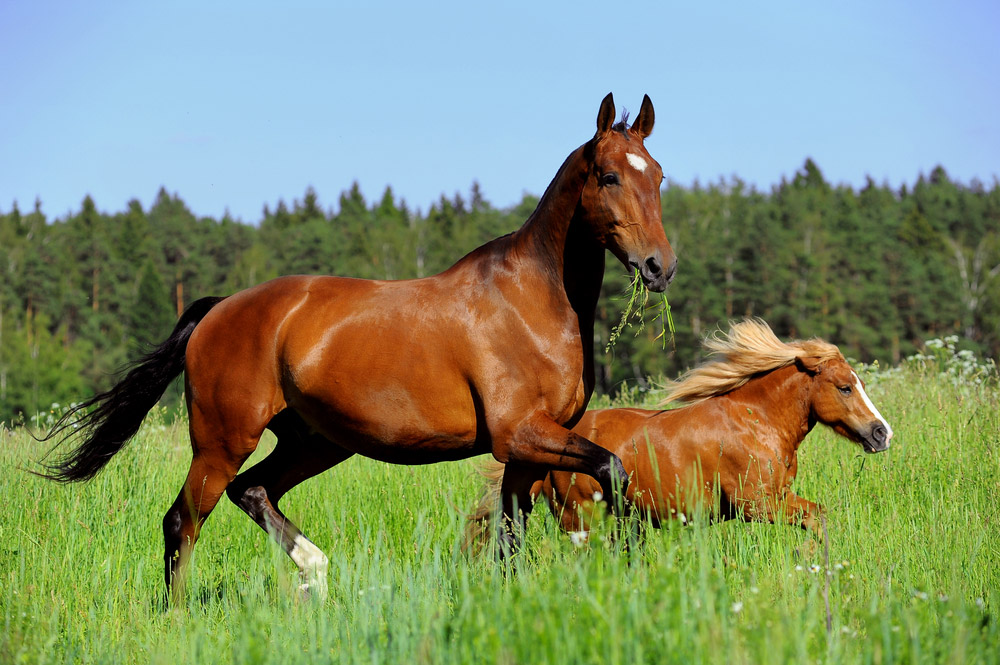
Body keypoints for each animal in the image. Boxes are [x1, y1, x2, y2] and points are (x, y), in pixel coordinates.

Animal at [43, 92, 676, 596]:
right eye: (610, 176)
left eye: (659, 175)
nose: (659, 267)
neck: (532, 302)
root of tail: (217, 312)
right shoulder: (519, 433)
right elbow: (612, 469)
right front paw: (628, 556)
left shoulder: (527, 449)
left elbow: (512, 538)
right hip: (221, 442)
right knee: (183, 521)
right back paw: (181, 617)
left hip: (314, 442)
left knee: (253, 491)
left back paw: (314, 573)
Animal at [464, 320, 896, 544]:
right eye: (844, 386)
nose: (882, 433)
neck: (757, 422)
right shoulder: (757, 506)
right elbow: (815, 517)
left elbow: (818, 516)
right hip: (582, 519)